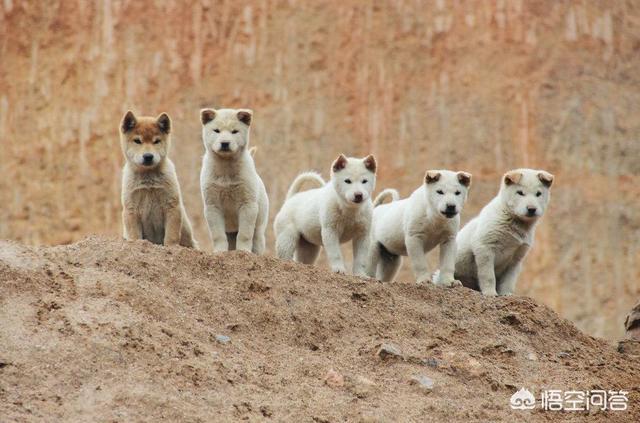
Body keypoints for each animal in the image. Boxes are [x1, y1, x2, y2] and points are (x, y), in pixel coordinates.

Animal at [201, 109, 268, 255]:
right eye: (216, 130)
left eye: (235, 131)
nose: (225, 143)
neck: (226, 169)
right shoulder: (212, 205)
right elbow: (218, 235)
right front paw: (219, 251)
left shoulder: (248, 204)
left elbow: (245, 234)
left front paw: (243, 251)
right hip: (230, 232)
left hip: (259, 226)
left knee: (256, 240)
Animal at [456, 167, 556, 296]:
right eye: (520, 192)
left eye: (538, 194)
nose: (531, 209)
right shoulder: (484, 247)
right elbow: (488, 275)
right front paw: (490, 293)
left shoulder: (516, 258)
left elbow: (509, 279)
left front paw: (506, 294)